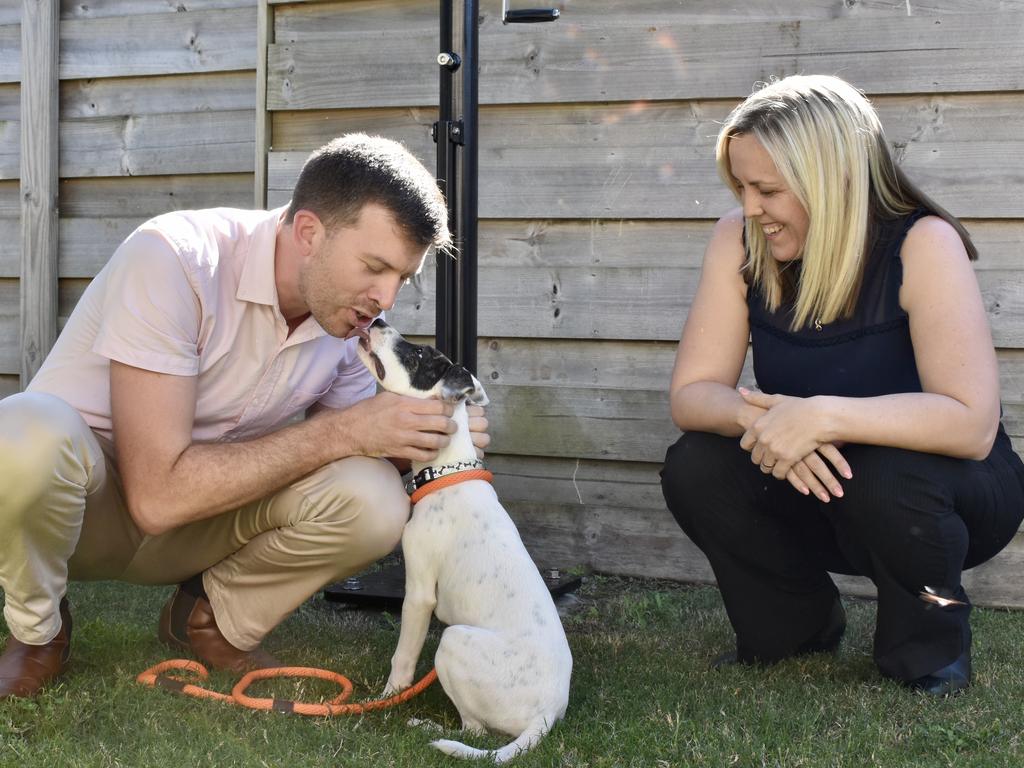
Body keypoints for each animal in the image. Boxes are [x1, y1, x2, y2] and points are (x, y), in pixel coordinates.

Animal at [356, 319, 573, 765]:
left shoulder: (419, 593)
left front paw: (386, 699)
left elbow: (402, 656)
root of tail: (544, 716)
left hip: (453, 641)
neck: (446, 471)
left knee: (474, 729)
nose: (379, 321)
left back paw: (429, 727)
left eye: (419, 356)